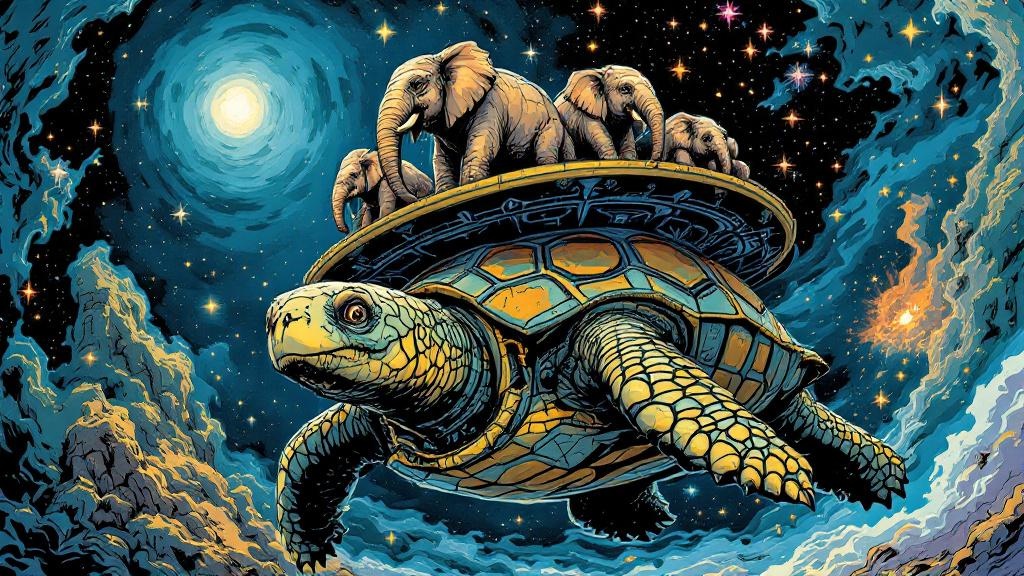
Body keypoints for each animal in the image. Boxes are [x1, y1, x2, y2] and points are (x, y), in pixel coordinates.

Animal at [376, 41, 572, 198]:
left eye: (416, 84)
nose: (414, 197)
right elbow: (443, 158)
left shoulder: (489, 105)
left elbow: (482, 146)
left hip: (548, 127)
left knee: (544, 155)